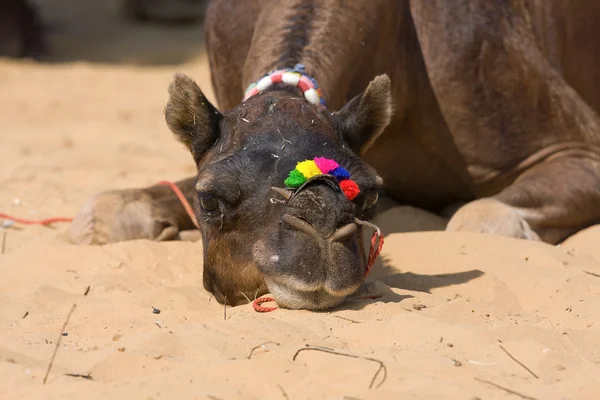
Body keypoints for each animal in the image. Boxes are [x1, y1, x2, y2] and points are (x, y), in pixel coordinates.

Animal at [68, 0, 600, 310]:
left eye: (368, 194)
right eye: (209, 199)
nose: (320, 229)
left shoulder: (579, 148)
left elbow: (479, 217)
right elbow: (105, 210)